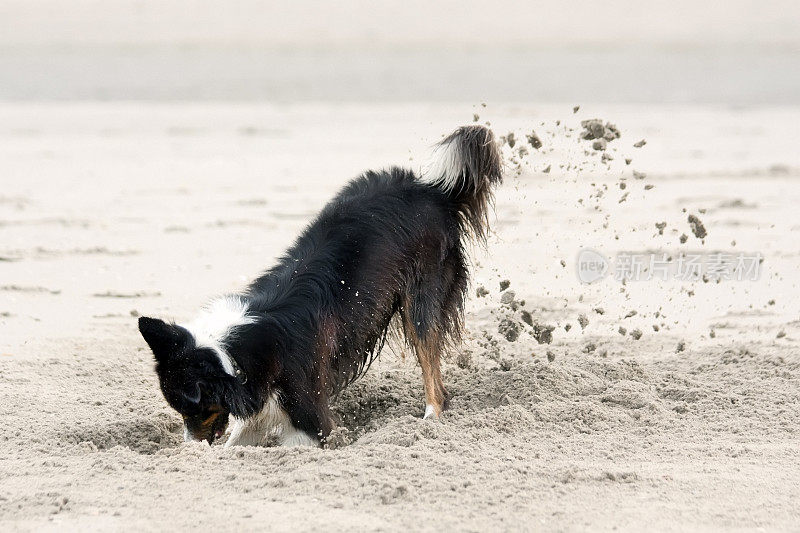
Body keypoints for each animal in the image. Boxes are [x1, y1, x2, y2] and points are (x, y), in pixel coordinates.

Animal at [138, 124, 500, 444]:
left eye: (193, 409)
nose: (190, 446)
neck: (238, 353)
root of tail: (433, 190)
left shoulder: (308, 412)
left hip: (422, 298)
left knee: (433, 372)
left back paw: (429, 419)